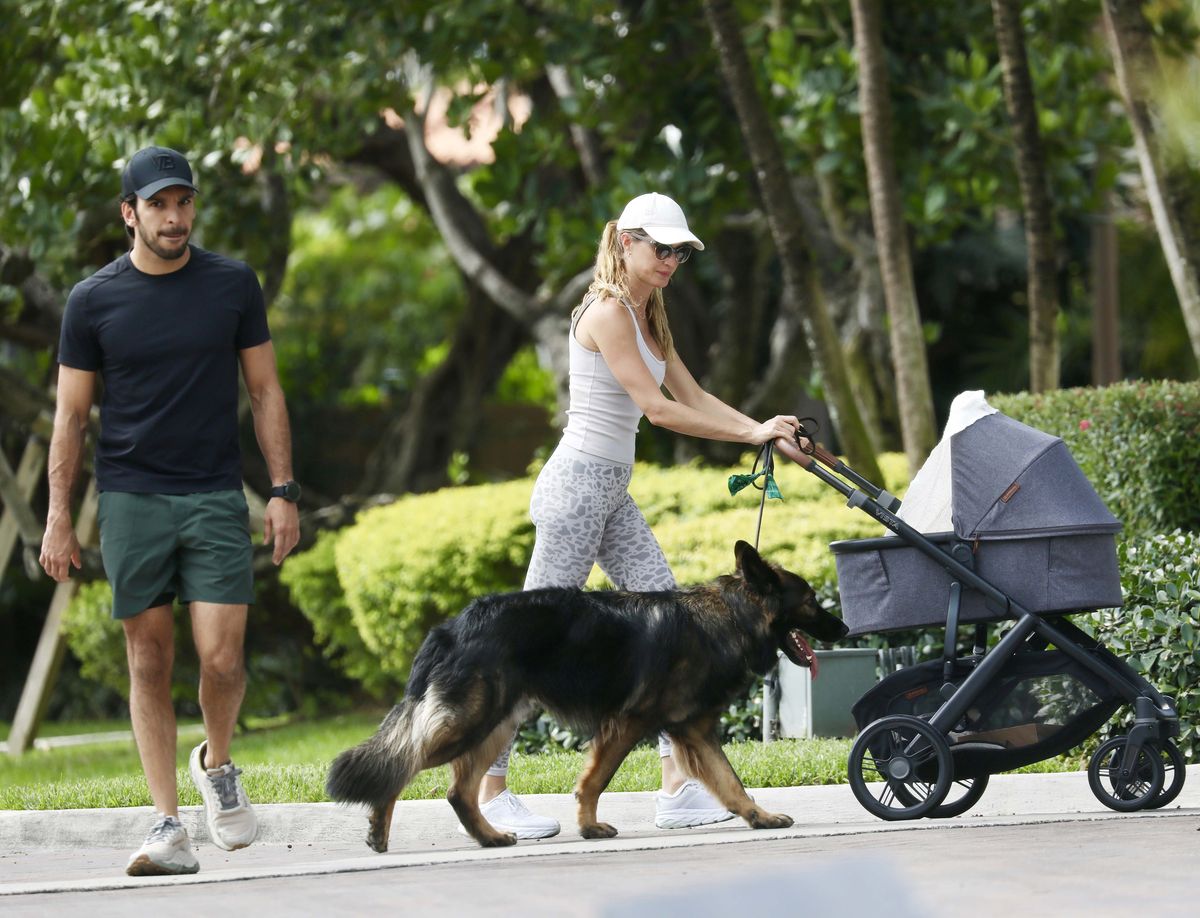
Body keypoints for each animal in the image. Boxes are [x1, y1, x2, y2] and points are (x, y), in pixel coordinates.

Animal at [324, 540, 840, 849]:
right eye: (812, 600)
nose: (845, 627)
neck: (731, 617)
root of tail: (452, 626)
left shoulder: (694, 732)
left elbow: (732, 784)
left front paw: (760, 817)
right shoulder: (630, 723)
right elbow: (596, 779)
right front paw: (589, 826)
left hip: (498, 725)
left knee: (456, 791)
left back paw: (490, 837)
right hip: (472, 723)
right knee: (402, 763)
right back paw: (381, 825)